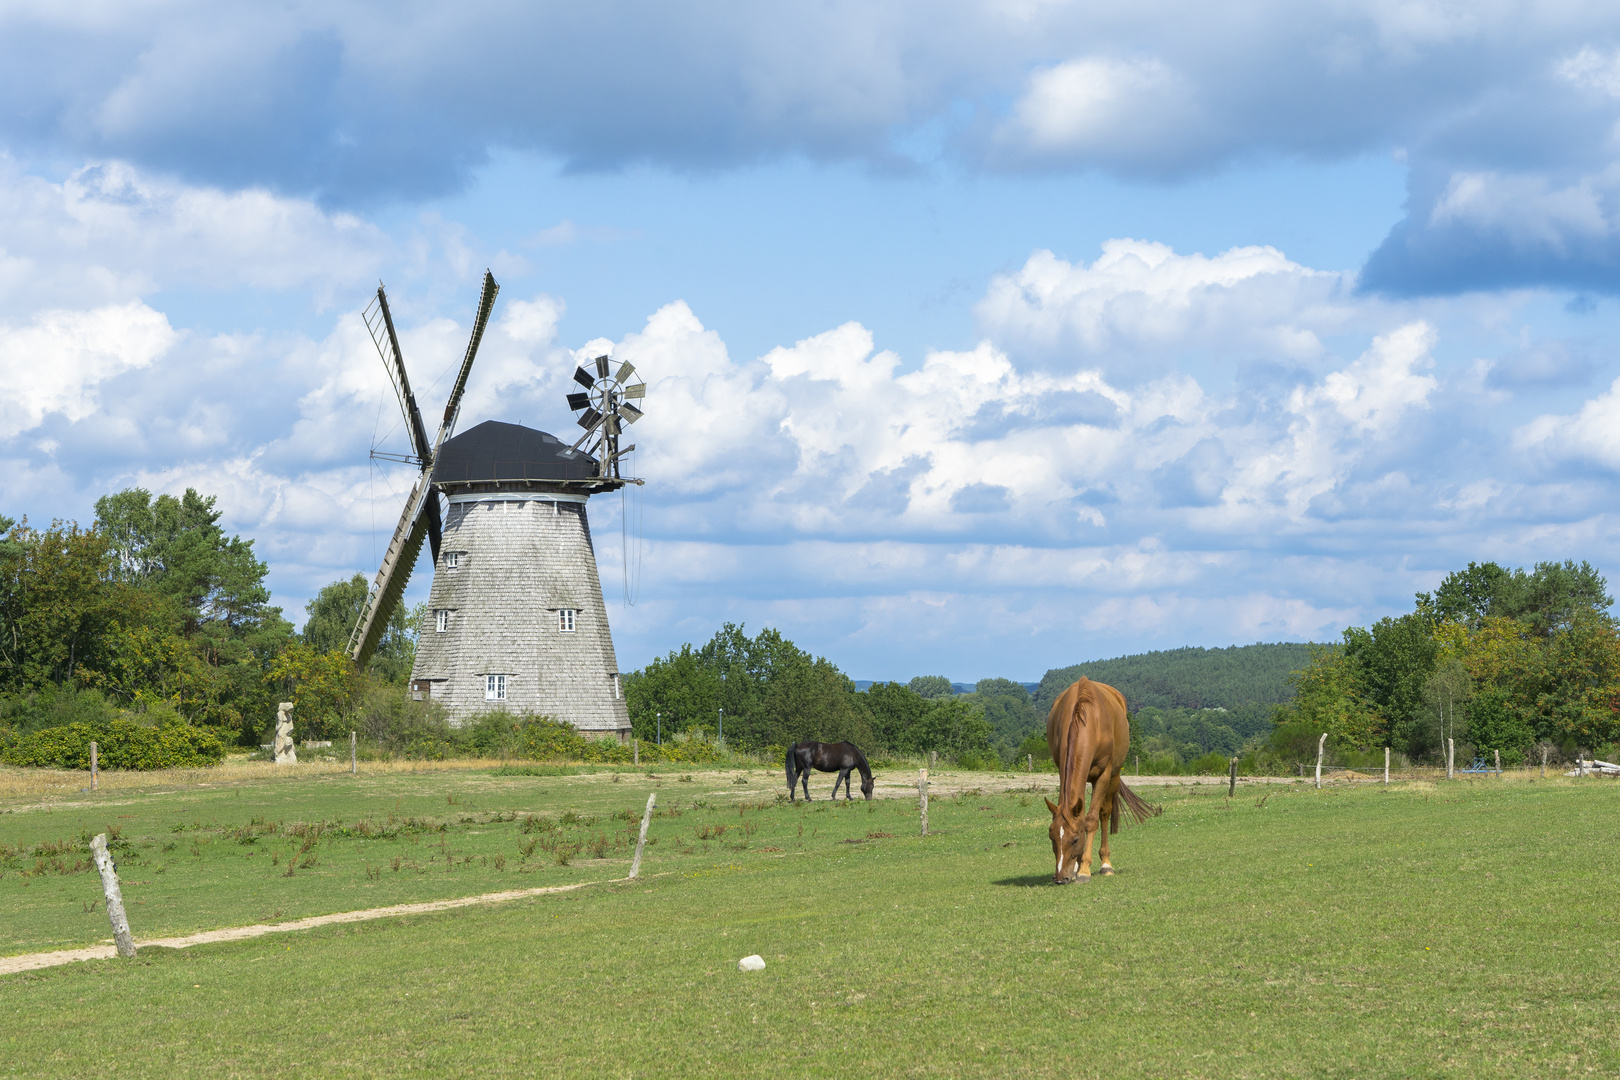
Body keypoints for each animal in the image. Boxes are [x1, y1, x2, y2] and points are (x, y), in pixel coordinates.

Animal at [1043, 680, 1159, 880]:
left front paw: (1083, 870)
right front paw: (1077, 867)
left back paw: (1106, 864)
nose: (1060, 878)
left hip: (1114, 776)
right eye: (1052, 838)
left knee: (1104, 813)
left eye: (1075, 839)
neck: (1087, 720)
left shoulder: (1103, 775)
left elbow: (1091, 820)